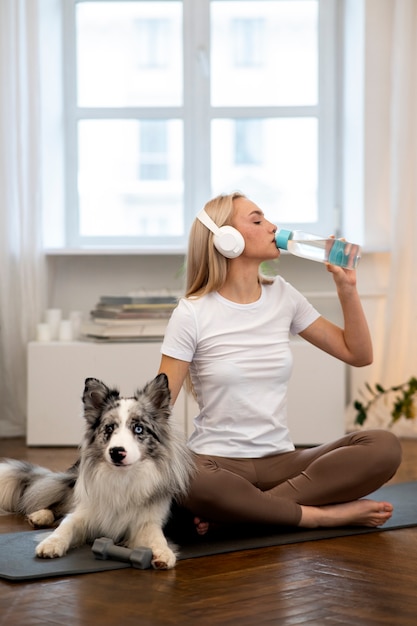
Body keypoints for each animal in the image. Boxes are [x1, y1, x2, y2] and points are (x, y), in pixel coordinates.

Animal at [0, 372, 193, 568]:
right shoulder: (84, 511)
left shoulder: (147, 520)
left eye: (138, 428)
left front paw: (163, 553)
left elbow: (155, 536)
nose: (116, 452)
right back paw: (40, 515)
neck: (120, 478)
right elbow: (66, 525)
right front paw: (50, 544)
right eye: (109, 427)